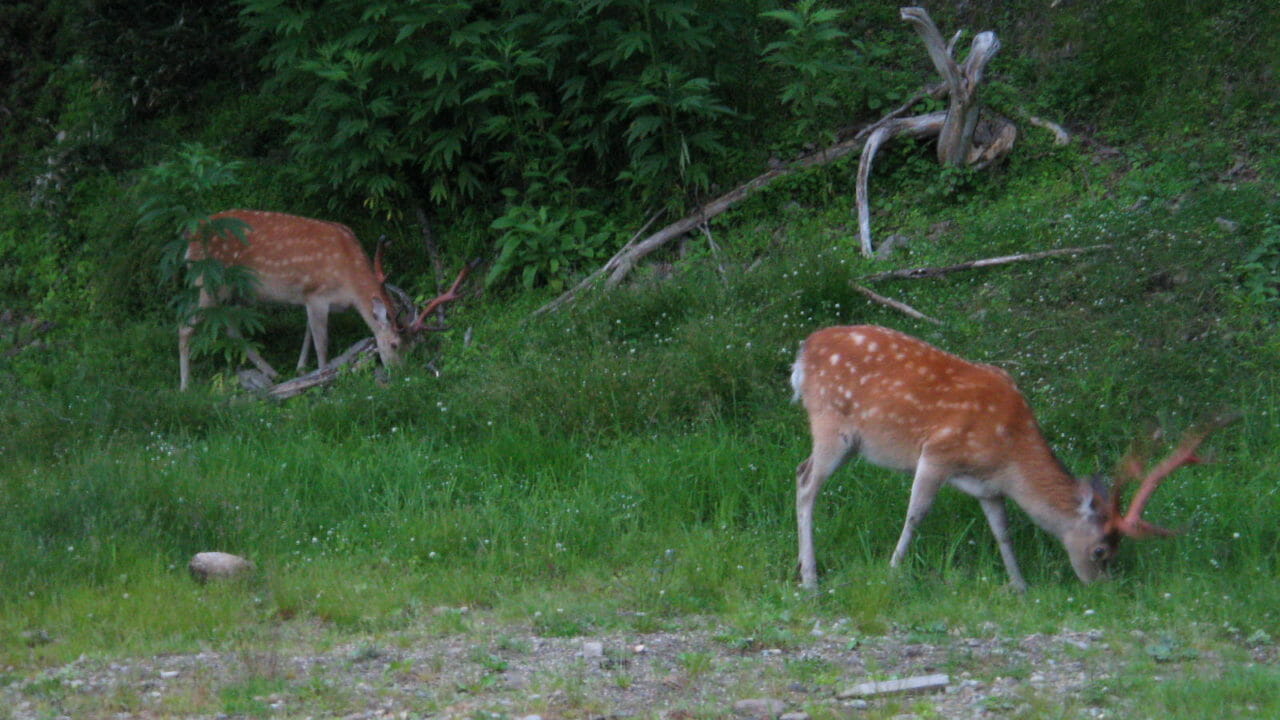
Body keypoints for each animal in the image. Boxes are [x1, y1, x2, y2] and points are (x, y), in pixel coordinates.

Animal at [174, 207, 465, 389]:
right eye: (393, 345)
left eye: (413, 347)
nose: (400, 374)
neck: (349, 280)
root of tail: (191, 236)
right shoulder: (317, 295)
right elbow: (321, 343)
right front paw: (322, 378)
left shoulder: (310, 297)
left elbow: (308, 334)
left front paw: (301, 368)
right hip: (208, 281)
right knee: (185, 326)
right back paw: (185, 386)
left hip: (235, 292)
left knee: (231, 326)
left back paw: (270, 372)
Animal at [788, 324, 1228, 589]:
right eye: (1101, 551)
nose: (1103, 588)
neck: (1010, 452)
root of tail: (802, 353)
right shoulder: (937, 452)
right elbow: (916, 515)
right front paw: (892, 572)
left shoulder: (989, 485)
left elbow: (1003, 529)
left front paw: (1020, 585)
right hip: (831, 424)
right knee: (807, 483)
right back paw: (810, 580)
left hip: (849, 440)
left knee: (799, 470)